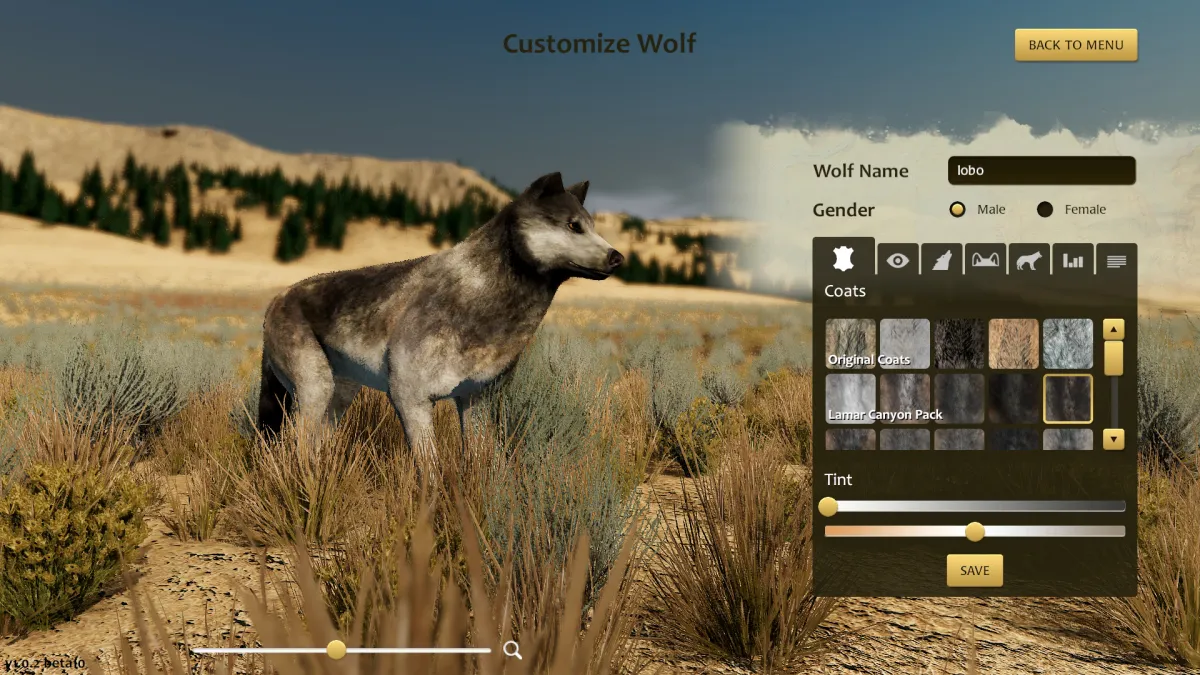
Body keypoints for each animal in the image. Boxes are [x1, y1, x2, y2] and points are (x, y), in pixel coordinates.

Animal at [256, 172, 624, 465]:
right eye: (573, 226)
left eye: (593, 227)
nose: (618, 257)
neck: (481, 301)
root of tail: (275, 300)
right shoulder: (410, 398)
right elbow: (430, 471)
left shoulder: (475, 400)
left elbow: (483, 462)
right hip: (315, 391)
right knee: (297, 445)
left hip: (340, 396)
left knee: (316, 441)